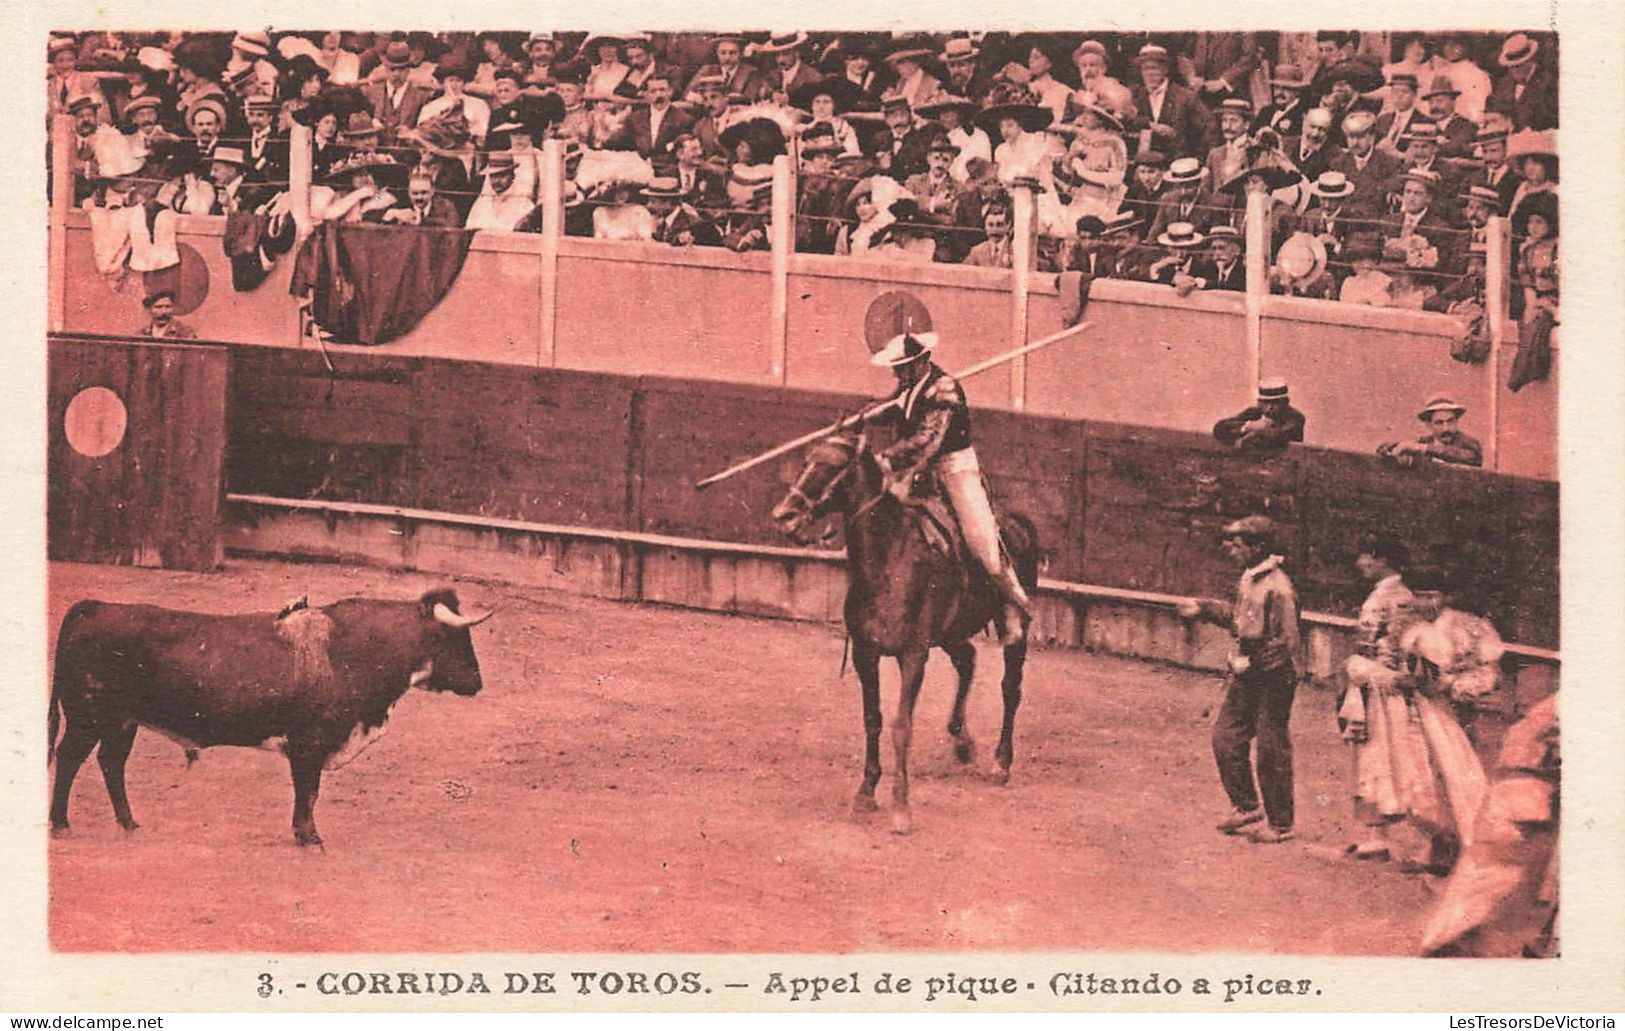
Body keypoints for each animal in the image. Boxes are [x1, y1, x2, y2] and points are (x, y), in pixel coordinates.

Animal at [50, 585, 494, 845]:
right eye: (457, 637)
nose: (477, 682)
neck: (354, 649)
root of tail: (94, 607)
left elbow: (308, 792)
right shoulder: (310, 744)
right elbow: (309, 791)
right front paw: (309, 837)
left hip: (121, 722)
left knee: (111, 763)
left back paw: (129, 824)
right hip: (88, 717)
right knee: (70, 759)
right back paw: (61, 824)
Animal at [770, 429, 1040, 832]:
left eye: (832, 466)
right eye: (806, 461)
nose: (784, 515)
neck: (888, 560)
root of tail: (1020, 523)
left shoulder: (913, 655)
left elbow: (901, 726)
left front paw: (900, 807)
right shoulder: (866, 652)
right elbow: (873, 720)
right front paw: (865, 794)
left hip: (1014, 627)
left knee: (1010, 688)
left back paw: (1001, 763)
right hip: (949, 634)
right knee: (968, 660)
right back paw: (963, 742)